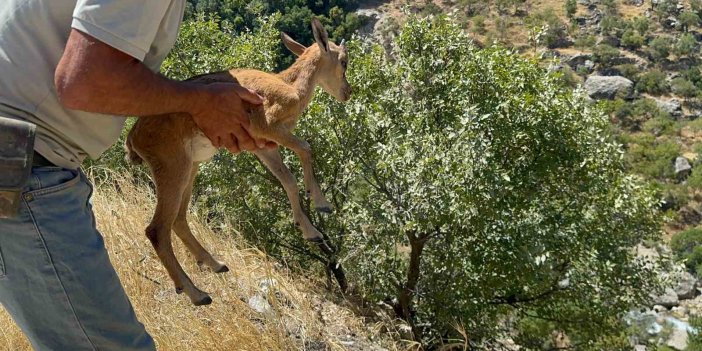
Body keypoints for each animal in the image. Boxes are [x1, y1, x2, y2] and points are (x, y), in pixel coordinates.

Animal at [126, 19, 352, 306]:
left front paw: (310, 232)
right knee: (157, 229)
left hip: (190, 168)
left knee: (178, 219)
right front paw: (322, 204)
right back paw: (197, 293)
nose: (348, 92)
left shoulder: (264, 146)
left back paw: (217, 265)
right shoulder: (268, 125)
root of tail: (134, 137)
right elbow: (305, 148)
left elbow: (287, 179)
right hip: (173, 167)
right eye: (344, 61)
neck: (291, 87)